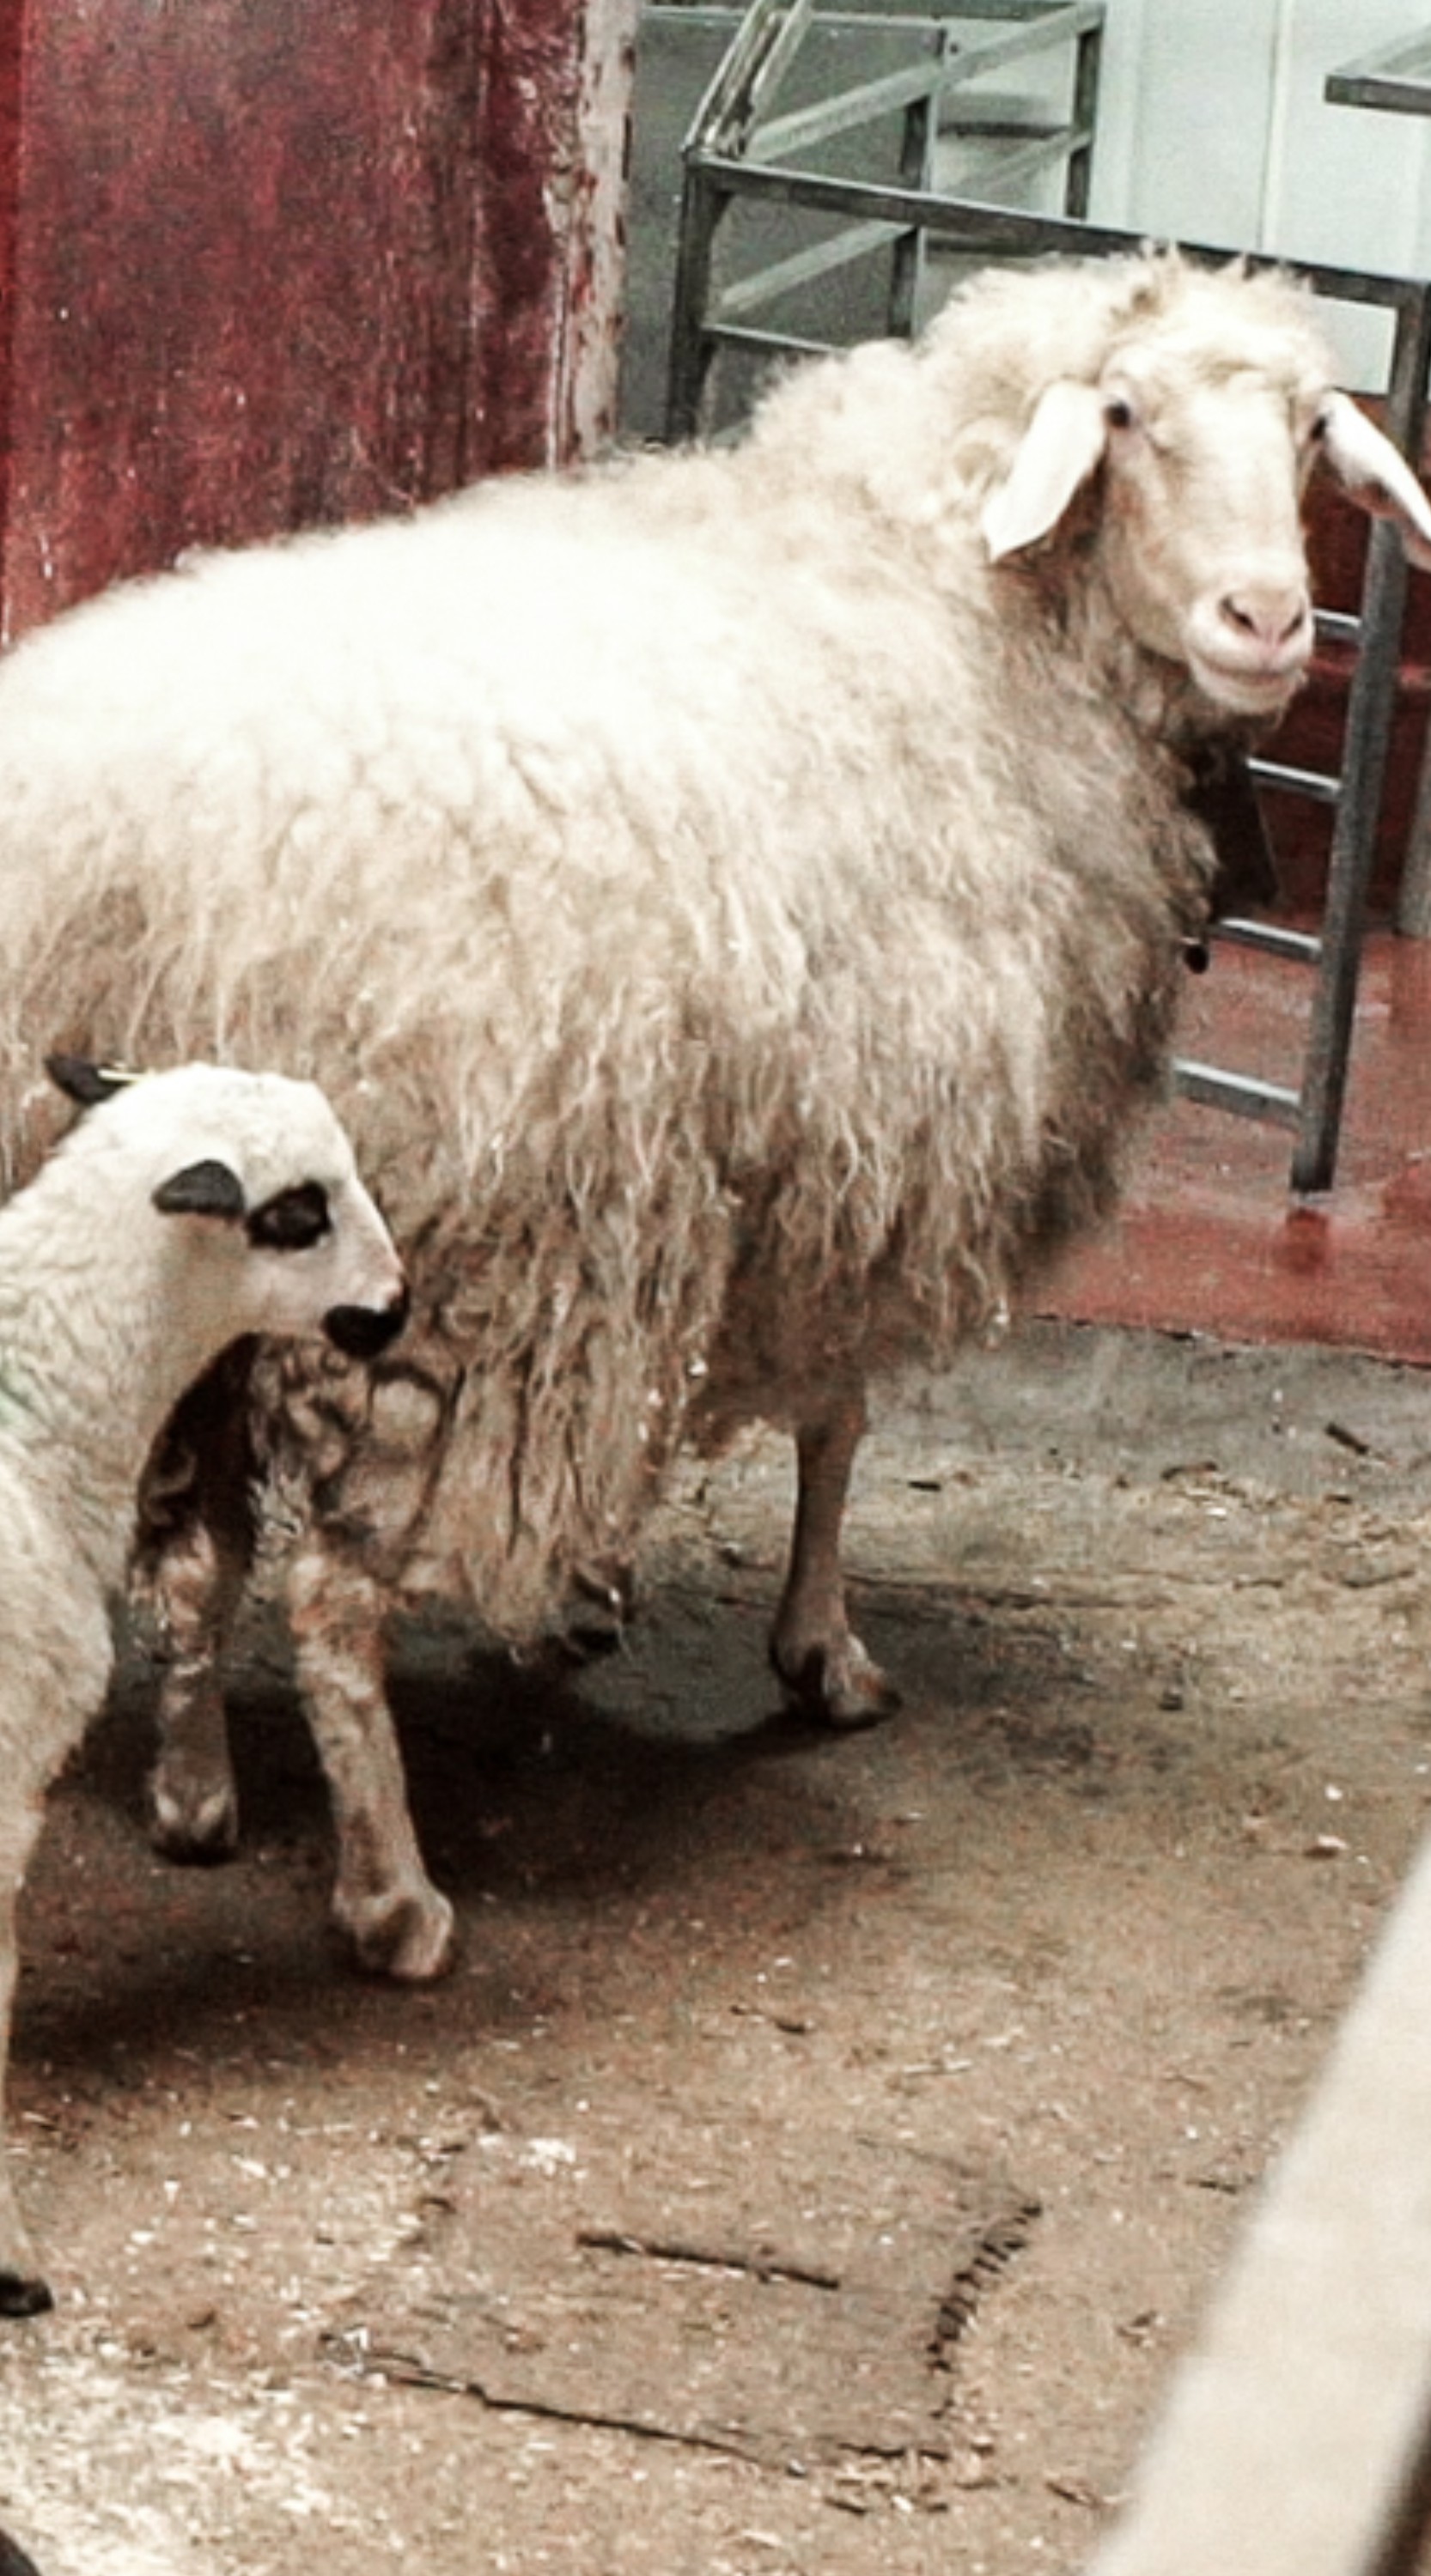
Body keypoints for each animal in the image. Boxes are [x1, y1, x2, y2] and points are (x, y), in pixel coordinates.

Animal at [0, 247, 1426, 2008]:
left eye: (1307, 430)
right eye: (1121, 416)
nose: (1269, 622)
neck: (967, 605)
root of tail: (140, 873)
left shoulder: (791, 1167)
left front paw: (592, 1597)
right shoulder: (879, 1147)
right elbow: (841, 1420)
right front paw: (820, 1655)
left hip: (184, 1264)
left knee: (193, 1550)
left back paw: (195, 1795)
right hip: (442, 1271)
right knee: (332, 1602)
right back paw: (394, 1901)